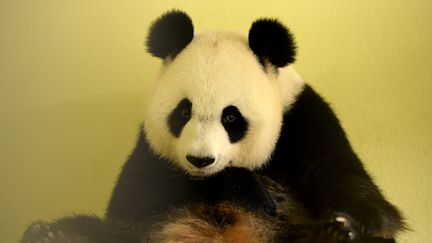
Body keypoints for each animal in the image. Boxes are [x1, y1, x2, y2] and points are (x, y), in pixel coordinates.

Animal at [20, 9, 404, 243]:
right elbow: (131, 203)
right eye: (182, 112)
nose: (200, 161)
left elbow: (357, 190)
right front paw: (243, 187)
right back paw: (50, 233)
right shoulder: (148, 151)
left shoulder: (304, 120)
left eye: (231, 117)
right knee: (97, 231)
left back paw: (331, 233)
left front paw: (341, 224)